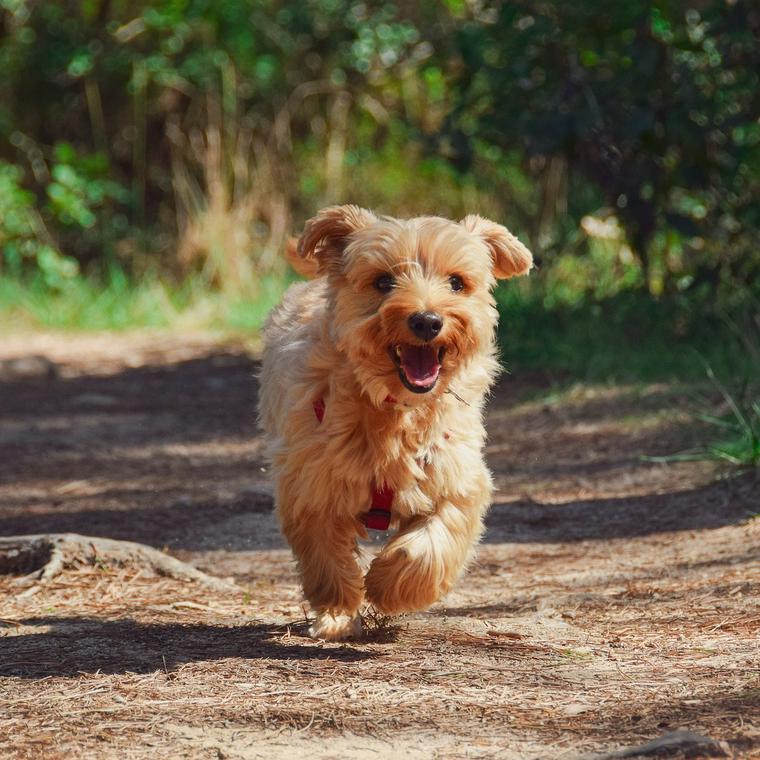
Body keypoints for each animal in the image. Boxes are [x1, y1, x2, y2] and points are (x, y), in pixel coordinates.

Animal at [258, 205, 532, 640]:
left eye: (457, 282)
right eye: (383, 281)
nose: (427, 321)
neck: (396, 411)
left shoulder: (457, 478)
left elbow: (432, 543)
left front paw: (389, 585)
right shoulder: (311, 484)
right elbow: (326, 557)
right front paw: (337, 612)